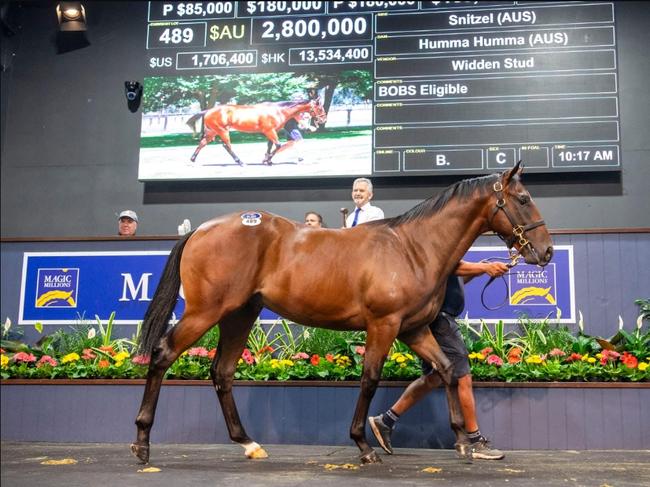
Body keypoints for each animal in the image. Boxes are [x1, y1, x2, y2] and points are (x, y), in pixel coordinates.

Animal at [132, 163, 552, 466]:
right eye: (523, 198)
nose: (545, 251)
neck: (412, 248)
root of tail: (200, 229)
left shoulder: (413, 329)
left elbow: (447, 371)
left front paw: (464, 441)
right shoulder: (384, 325)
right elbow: (369, 380)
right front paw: (363, 446)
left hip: (240, 314)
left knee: (222, 372)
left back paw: (248, 443)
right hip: (206, 312)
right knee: (164, 355)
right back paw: (142, 444)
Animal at [187, 96, 324, 167]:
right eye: (320, 108)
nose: (323, 119)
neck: (277, 111)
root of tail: (208, 111)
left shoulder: (271, 132)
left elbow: (270, 146)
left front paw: (268, 160)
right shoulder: (269, 131)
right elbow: (278, 145)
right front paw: (267, 160)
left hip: (213, 132)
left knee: (202, 143)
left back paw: (193, 160)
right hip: (223, 131)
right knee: (227, 146)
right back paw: (241, 162)